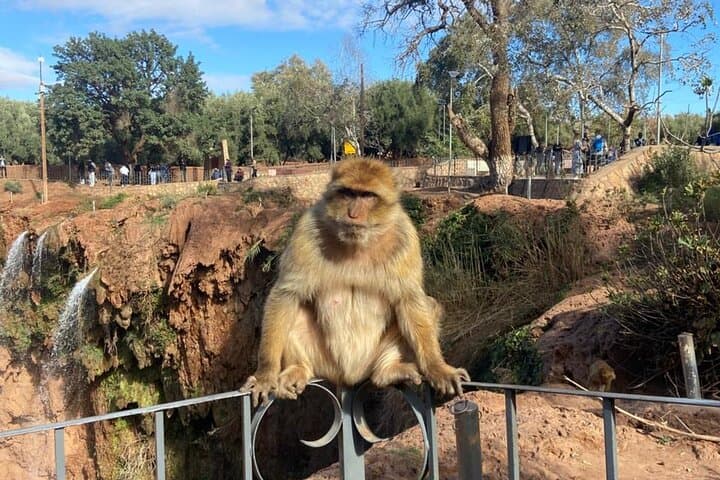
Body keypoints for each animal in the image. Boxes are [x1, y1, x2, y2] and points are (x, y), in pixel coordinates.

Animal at [242, 158, 469, 406]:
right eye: (348, 193)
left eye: (367, 196)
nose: (352, 214)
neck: (358, 243)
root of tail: (350, 376)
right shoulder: (307, 230)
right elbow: (287, 294)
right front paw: (266, 374)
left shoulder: (405, 235)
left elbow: (408, 299)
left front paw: (437, 368)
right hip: (326, 364)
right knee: (293, 310)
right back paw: (298, 369)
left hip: (369, 363)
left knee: (428, 305)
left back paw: (387, 370)